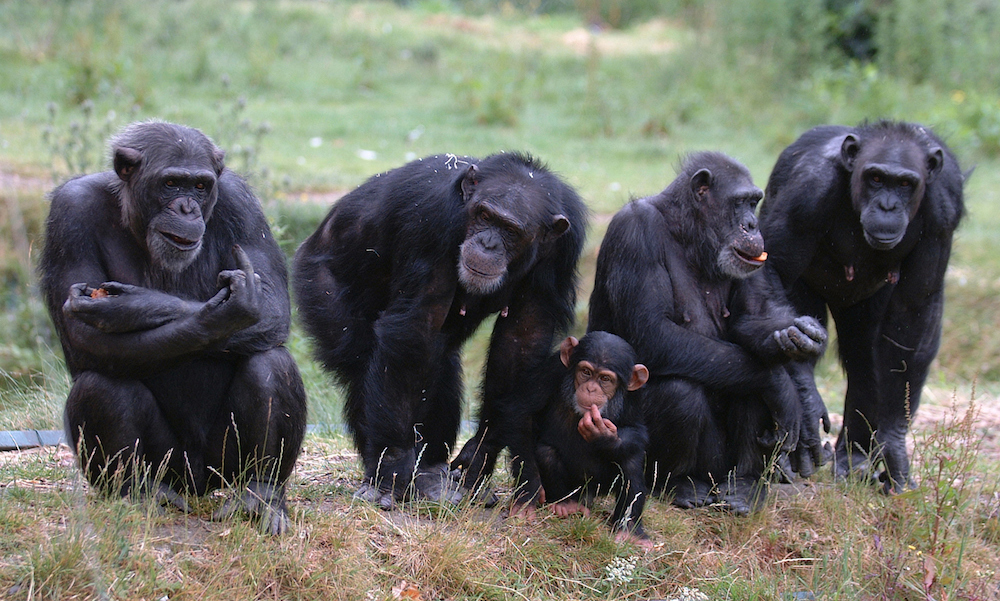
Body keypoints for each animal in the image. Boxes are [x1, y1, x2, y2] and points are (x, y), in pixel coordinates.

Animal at [39, 122, 306, 536]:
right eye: (170, 184)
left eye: (199, 185)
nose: (187, 208)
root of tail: (195, 485)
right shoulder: (70, 211)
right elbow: (86, 338)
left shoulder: (240, 202)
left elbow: (271, 306)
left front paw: (132, 306)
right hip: (169, 464)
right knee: (101, 384)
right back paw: (138, 492)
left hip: (219, 467)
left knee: (271, 363)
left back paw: (259, 494)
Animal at [292, 151, 584, 506]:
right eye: (484, 216)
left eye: (511, 230)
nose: (487, 243)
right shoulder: (433, 221)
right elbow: (415, 327)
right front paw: (392, 469)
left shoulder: (563, 248)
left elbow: (522, 339)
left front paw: (481, 452)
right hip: (319, 286)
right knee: (366, 364)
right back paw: (383, 472)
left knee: (439, 363)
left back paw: (430, 472)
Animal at [512, 332, 652, 544]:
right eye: (586, 372)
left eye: (605, 378)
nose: (591, 389)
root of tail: (585, 495)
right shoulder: (552, 369)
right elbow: (524, 415)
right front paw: (527, 496)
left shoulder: (634, 395)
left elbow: (637, 429)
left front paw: (604, 436)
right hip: (576, 488)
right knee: (546, 452)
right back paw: (565, 504)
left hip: (599, 486)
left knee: (630, 462)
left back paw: (630, 531)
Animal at [584, 152, 828, 512]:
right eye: (740, 203)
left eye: (755, 203)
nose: (752, 224)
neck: (689, 235)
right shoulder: (634, 232)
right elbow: (654, 334)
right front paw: (784, 388)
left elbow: (750, 319)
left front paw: (795, 337)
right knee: (683, 391)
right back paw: (678, 483)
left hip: (722, 468)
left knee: (748, 382)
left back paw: (745, 484)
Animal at [756, 120, 968, 492]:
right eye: (876, 178)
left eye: (905, 183)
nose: (887, 206)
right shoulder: (808, 190)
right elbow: (775, 269)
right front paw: (807, 405)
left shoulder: (945, 207)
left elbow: (914, 310)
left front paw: (894, 444)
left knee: (866, 358)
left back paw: (853, 460)